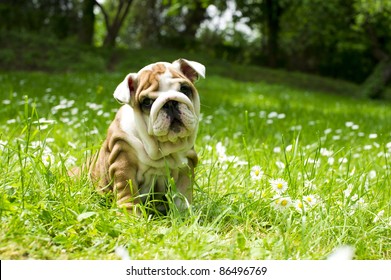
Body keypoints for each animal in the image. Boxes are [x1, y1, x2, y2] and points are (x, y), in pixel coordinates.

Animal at [90, 58, 207, 213]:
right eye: (147, 102)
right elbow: (128, 194)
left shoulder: (186, 167)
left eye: (184, 89)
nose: (170, 102)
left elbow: (183, 194)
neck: (162, 150)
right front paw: (131, 214)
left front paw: (184, 213)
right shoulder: (124, 164)